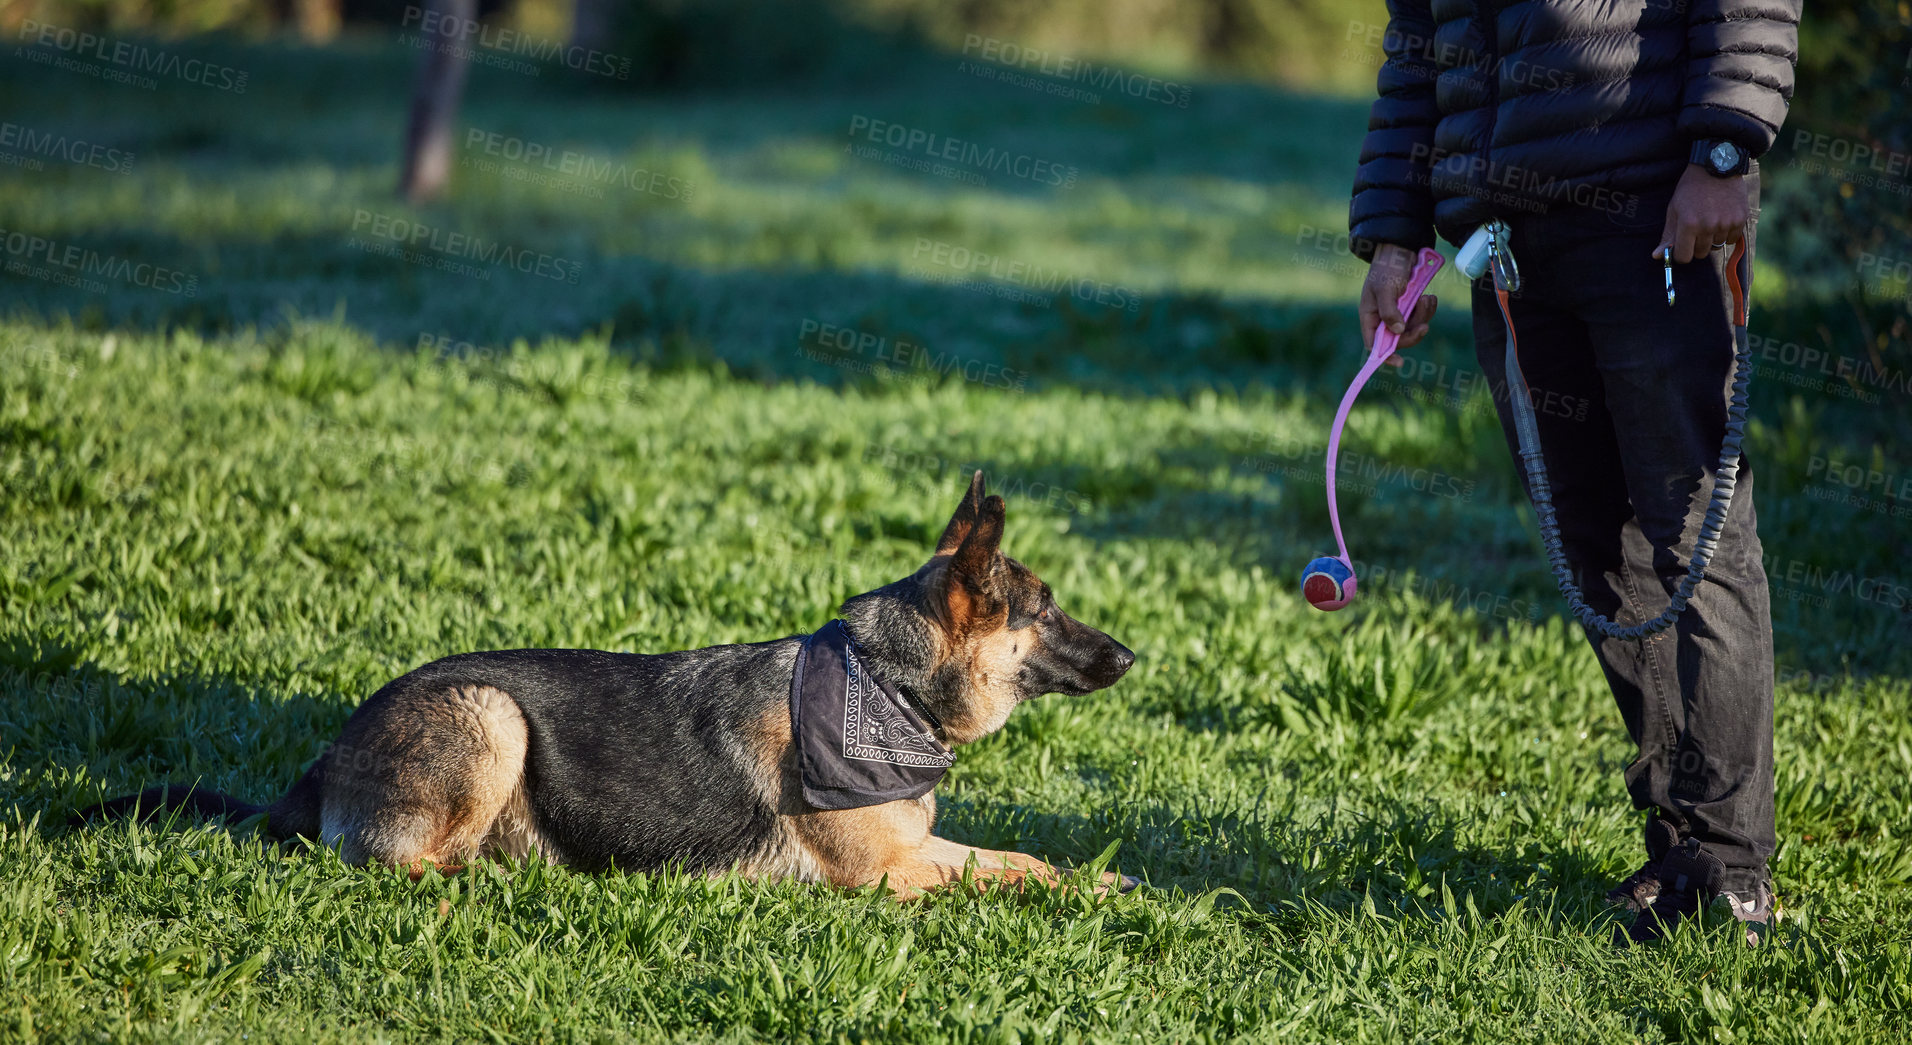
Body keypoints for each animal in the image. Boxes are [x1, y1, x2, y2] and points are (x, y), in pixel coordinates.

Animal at [82, 473, 1131, 897]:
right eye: (1047, 610)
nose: (1131, 658)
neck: (885, 686)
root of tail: (322, 761)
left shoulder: (916, 846)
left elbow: (1023, 858)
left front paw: (1104, 878)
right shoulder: (884, 877)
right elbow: (997, 880)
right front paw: (1083, 893)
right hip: (491, 715)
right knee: (393, 863)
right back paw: (500, 878)